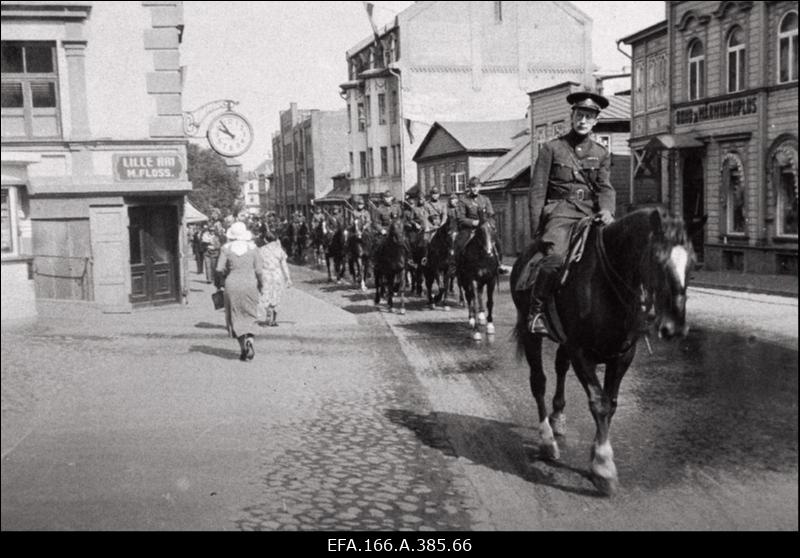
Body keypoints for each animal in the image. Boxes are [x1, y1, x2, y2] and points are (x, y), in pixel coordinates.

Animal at [512, 208, 692, 496]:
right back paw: (547, 440)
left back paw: (558, 417)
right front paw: (603, 467)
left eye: (692, 264)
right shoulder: (581, 352)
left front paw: (597, 454)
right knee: (538, 382)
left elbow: (612, 403)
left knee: (560, 367)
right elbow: (600, 403)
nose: (675, 326)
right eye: (657, 259)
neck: (606, 284)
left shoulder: (622, 356)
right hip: (530, 334)